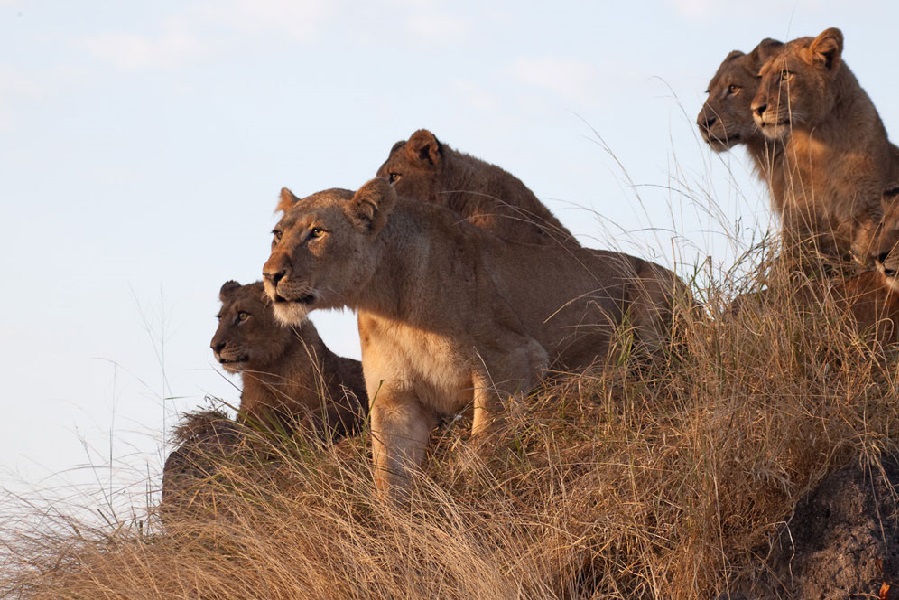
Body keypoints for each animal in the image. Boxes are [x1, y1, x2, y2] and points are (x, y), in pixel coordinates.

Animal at [209, 278, 368, 438]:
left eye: (242, 315)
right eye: (220, 318)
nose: (215, 347)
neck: (272, 370)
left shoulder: (356, 402)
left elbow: (316, 418)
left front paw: (302, 438)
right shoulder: (250, 414)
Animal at [748, 26, 899, 270]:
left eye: (785, 75)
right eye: (761, 78)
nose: (756, 108)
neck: (819, 141)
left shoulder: (869, 209)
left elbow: (864, 256)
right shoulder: (800, 215)